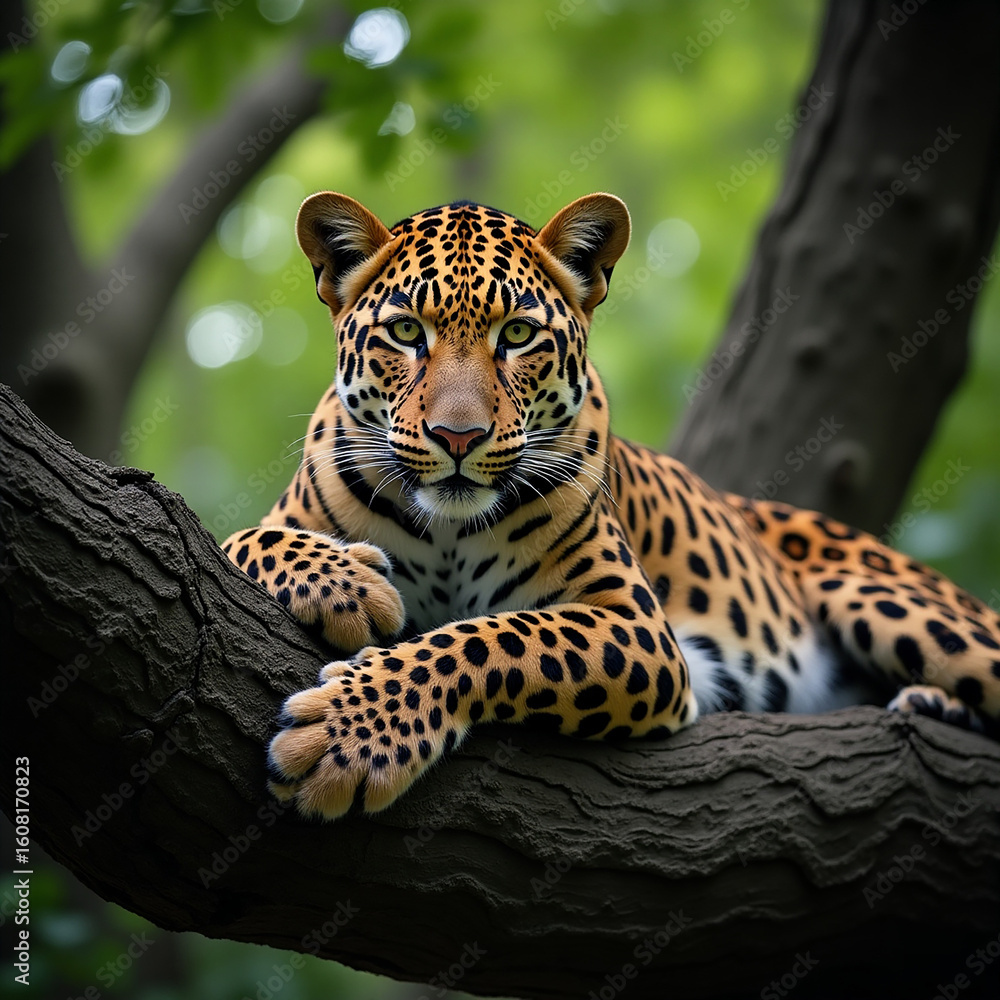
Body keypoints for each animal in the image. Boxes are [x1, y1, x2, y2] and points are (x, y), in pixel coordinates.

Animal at [221, 191, 1000, 820]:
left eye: (517, 335)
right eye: (407, 332)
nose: (458, 436)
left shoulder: (637, 626)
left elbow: (490, 640)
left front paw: (346, 740)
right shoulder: (274, 526)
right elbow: (247, 539)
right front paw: (350, 587)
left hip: (886, 600)